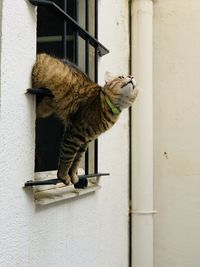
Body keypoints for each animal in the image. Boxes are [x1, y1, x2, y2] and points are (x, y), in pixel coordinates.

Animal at [32, 53, 138, 185]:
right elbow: (67, 158)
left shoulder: (85, 141)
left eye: (132, 77)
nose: (131, 76)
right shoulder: (74, 135)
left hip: (44, 109)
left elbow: (76, 161)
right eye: (121, 76)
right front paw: (63, 175)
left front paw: (73, 175)